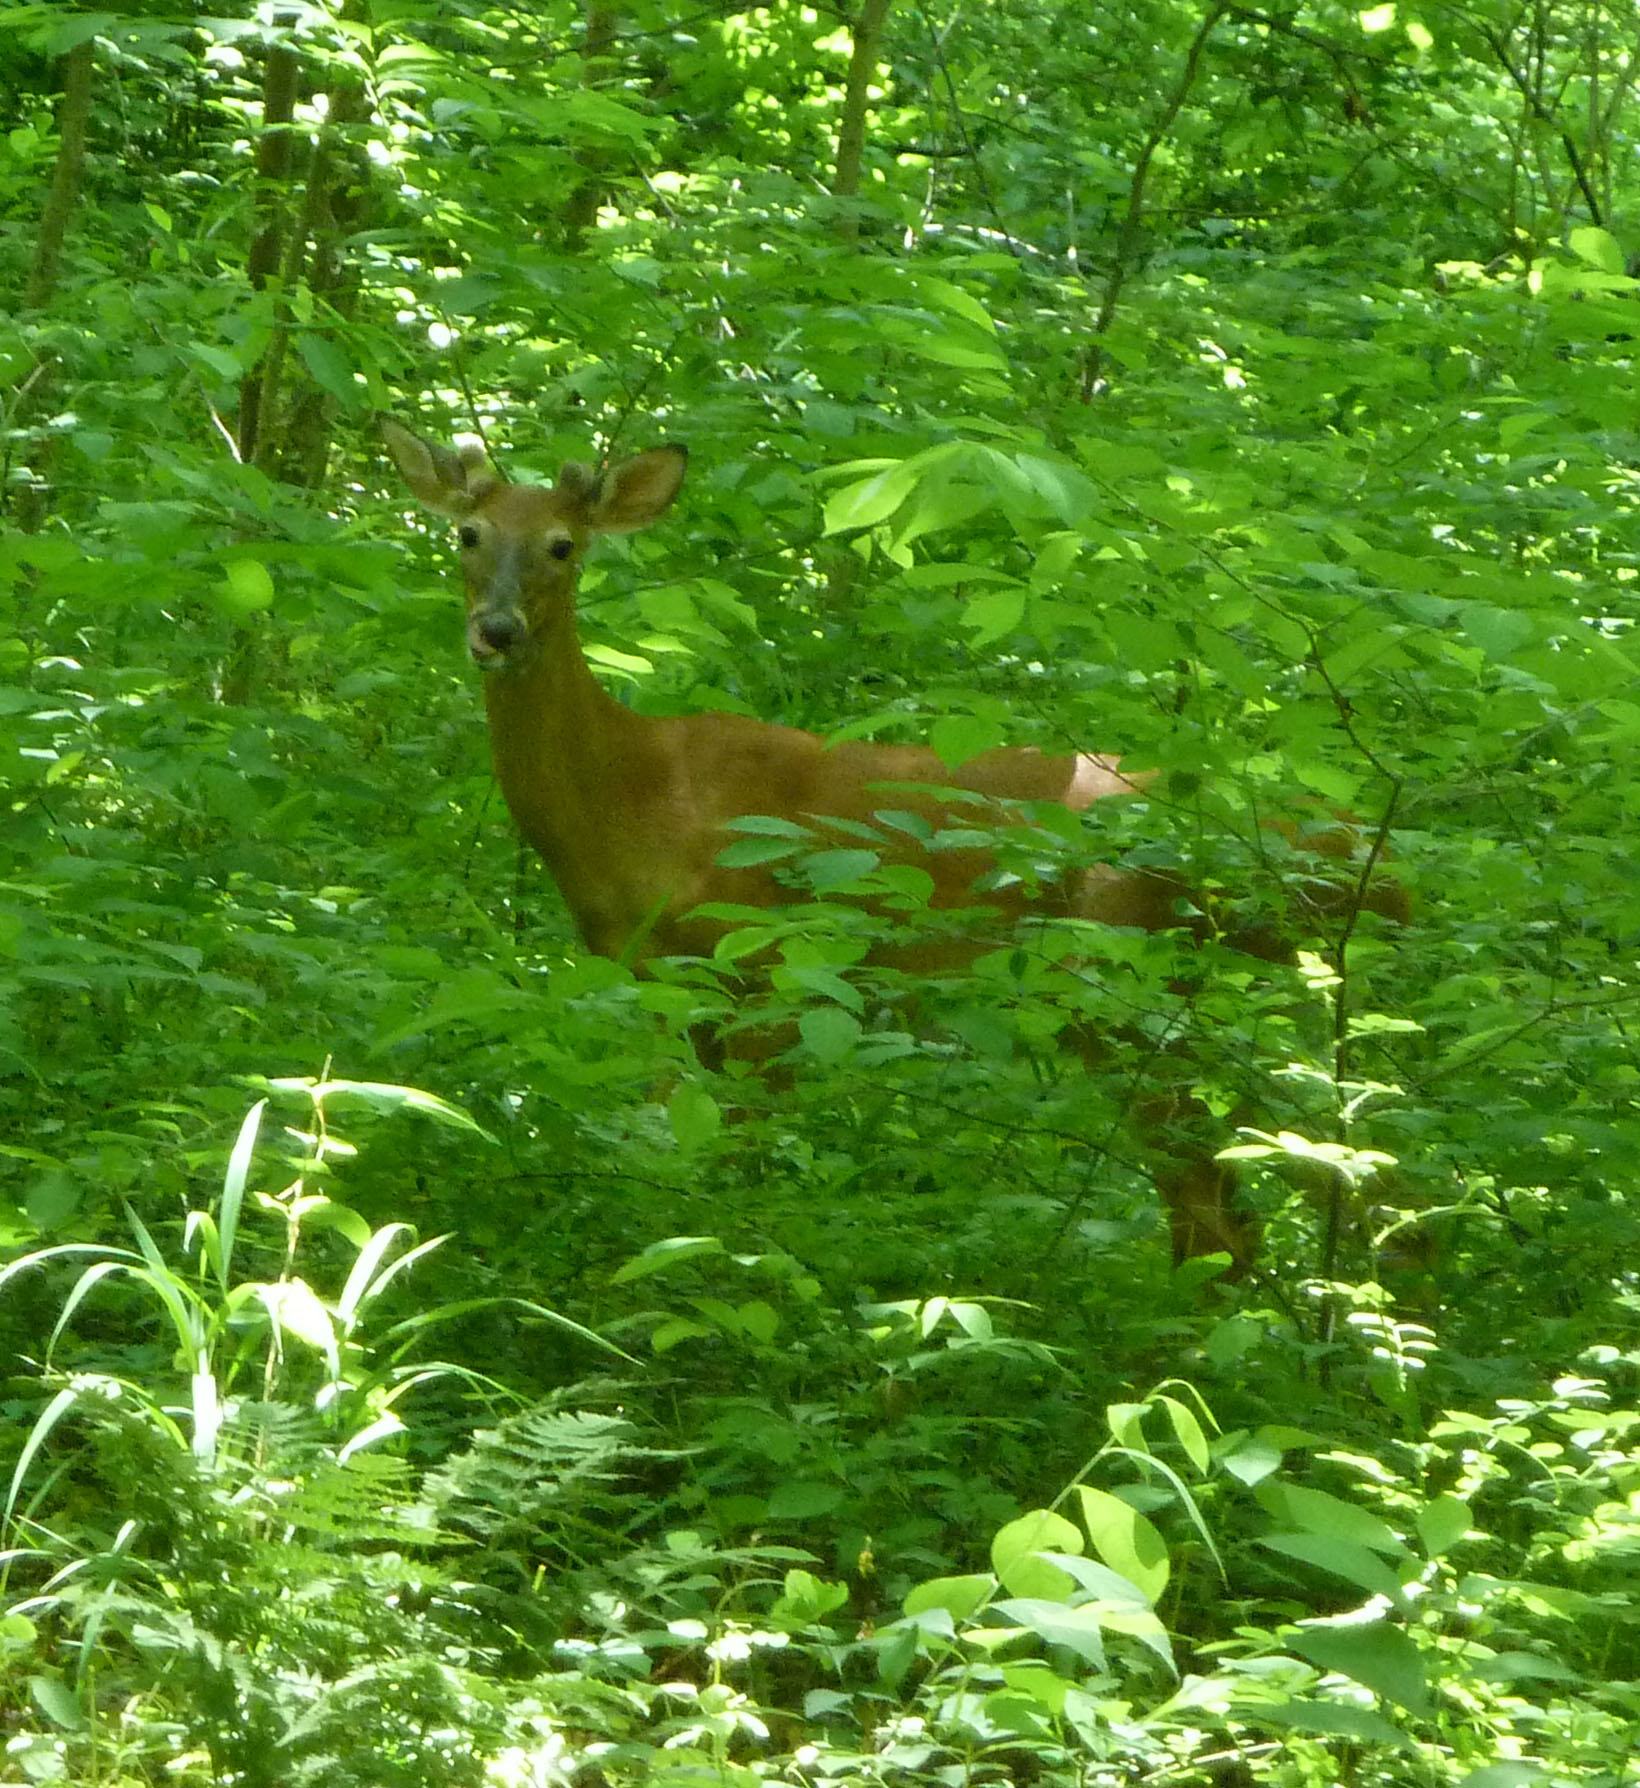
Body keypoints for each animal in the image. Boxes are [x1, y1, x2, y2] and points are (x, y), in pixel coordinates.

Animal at [380, 421, 1394, 1273]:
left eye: (564, 545)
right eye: (468, 535)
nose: (496, 630)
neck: (635, 798)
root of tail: (1327, 840)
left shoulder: (767, 971)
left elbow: (740, 1165)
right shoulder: (656, 978)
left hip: (1129, 983)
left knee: (1225, 1206)